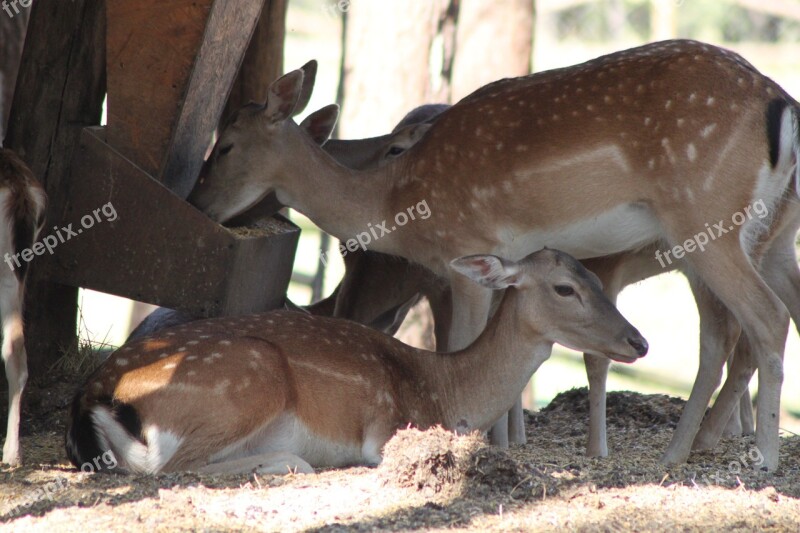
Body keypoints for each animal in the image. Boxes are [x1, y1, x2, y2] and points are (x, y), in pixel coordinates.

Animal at [65, 248, 648, 474]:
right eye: (565, 287)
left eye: (599, 281)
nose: (639, 342)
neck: (447, 389)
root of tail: (95, 395)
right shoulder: (387, 428)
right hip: (250, 377)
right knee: (170, 468)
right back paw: (289, 461)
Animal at [189, 40, 800, 470]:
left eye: (225, 145)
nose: (197, 202)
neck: (398, 200)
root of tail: (781, 105)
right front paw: (503, 444)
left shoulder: (466, 251)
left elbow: (459, 345)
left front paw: (467, 444)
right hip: (751, 237)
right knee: (739, 328)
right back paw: (684, 453)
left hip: (709, 219)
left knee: (764, 319)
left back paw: (761, 459)